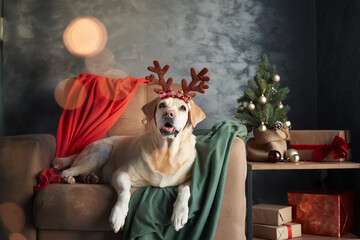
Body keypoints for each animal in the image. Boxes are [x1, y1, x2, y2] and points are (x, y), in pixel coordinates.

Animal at [53, 60, 211, 232]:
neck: (166, 153)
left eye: (183, 107)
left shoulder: (189, 179)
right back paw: (69, 178)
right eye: (162, 105)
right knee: (65, 170)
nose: (168, 113)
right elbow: (125, 192)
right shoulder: (120, 174)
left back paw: (90, 178)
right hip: (101, 152)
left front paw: (180, 214)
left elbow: (185, 190)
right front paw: (117, 216)